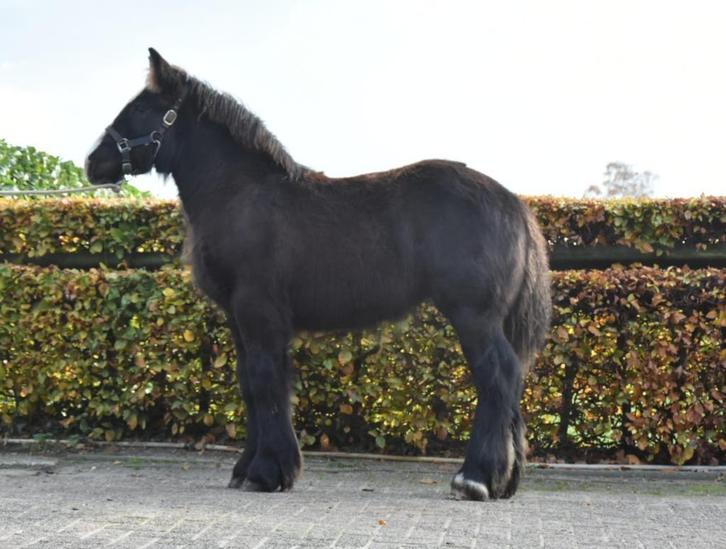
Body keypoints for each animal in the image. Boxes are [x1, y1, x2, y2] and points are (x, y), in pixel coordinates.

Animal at [86, 48, 552, 500]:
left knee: (498, 376)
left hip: (473, 315)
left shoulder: (258, 309)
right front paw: (249, 469)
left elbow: (265, 382)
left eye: (142, 108)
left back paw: (474, 479)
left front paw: (266, 473)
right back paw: (504, 482)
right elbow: (248, 384)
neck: (240, 194)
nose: (93, 163)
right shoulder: (239, 316)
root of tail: (514, 203)